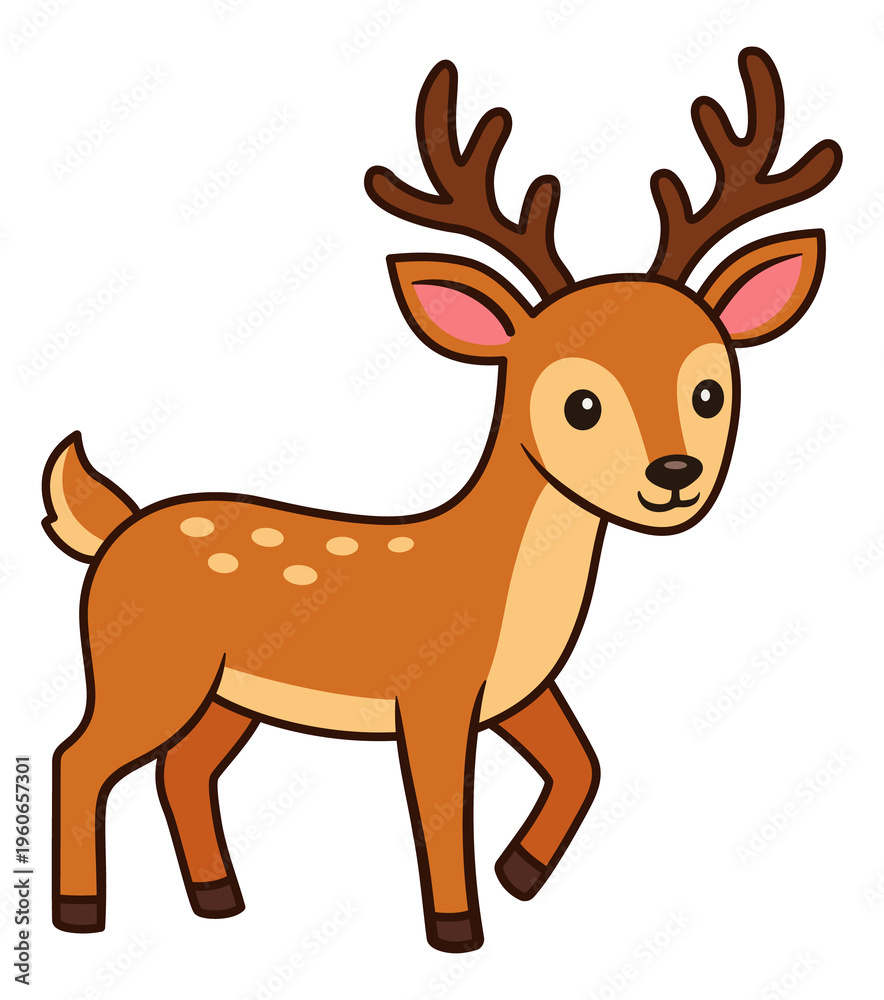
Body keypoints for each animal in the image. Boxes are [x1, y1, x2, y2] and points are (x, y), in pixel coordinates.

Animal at [44, 48, 841, 952]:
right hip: (145, 669)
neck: (504, 587)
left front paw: (519, 873)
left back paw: (221, 899)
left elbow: (584, 764)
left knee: (181, 769)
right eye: (581, 404)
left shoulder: (521, 691)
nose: (676, 474)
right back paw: (80, 913)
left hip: (228, 695)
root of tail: (114, 531)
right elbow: (439, 808)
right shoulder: (432, 693)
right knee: (80, 757)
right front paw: (458, 928)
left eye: (710, 391)